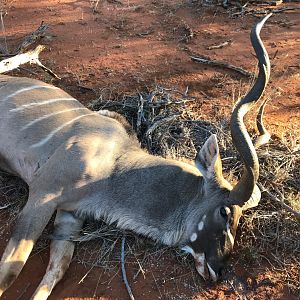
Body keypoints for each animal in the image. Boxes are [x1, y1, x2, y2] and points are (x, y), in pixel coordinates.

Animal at [0, 15, 272, 298]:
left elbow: (56, 270)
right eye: (224, 212)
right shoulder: (44, 193)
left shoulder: (69, 215)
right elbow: (11, 270)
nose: (217, 270)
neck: (114, 165)